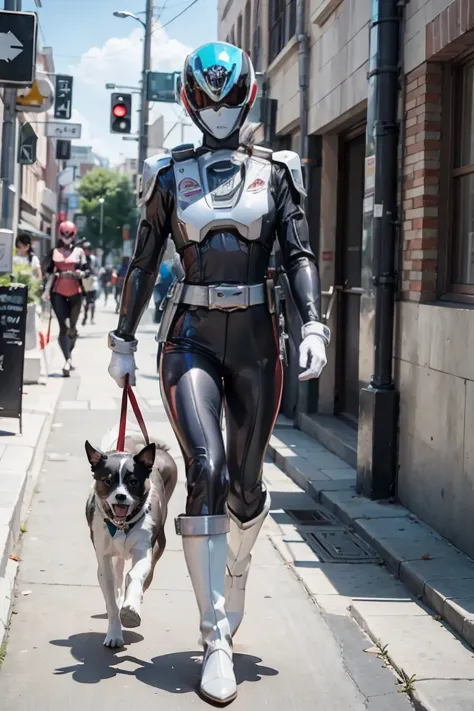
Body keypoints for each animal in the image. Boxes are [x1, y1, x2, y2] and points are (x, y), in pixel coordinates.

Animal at [84, 426, 176, 648]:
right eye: (108, 481)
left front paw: (131, 608)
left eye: (133, 481)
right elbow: (110, 595)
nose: (120, 496)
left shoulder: (144, 548)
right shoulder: (104, 556)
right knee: (116, 575)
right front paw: (114, 633)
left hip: (159, 543)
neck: (121, 525)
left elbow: (135, 575)